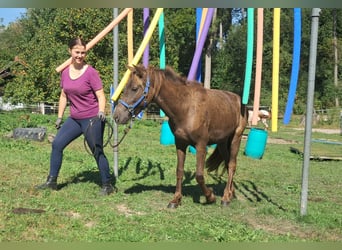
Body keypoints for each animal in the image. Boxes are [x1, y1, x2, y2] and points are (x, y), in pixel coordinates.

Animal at [113, 64, 247, 207]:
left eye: (134, 88)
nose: (117, 116)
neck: (186, 107)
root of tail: (239, 100)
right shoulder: (180, 143)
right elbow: (179, 171)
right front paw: (176, 199)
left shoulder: (201, 146)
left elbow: (199, 175)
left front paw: (210, 197)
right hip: (222, 143)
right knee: (228, 164)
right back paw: (230, 193)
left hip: (236, 138)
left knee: (232, 165)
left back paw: (226, 198)